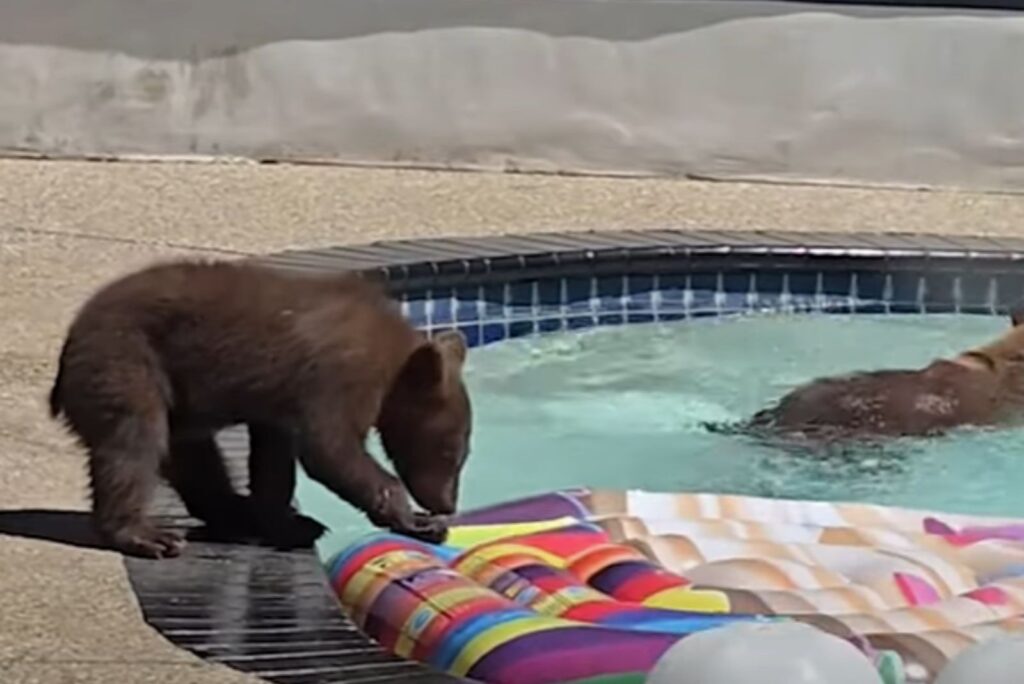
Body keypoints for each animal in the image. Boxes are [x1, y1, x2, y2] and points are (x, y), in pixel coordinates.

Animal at [48, 259, 471, 557]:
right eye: (452, 452)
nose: (447, 504)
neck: (394, 359)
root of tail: (68, 343)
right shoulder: (339, 375)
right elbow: (330, 448)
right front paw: (416, 521)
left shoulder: (283, 402)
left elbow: (274, 459)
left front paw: (288, 522)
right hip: (126, 360)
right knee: (134, 443)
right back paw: (149, 535)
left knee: (192, 456)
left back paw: (234, 513)